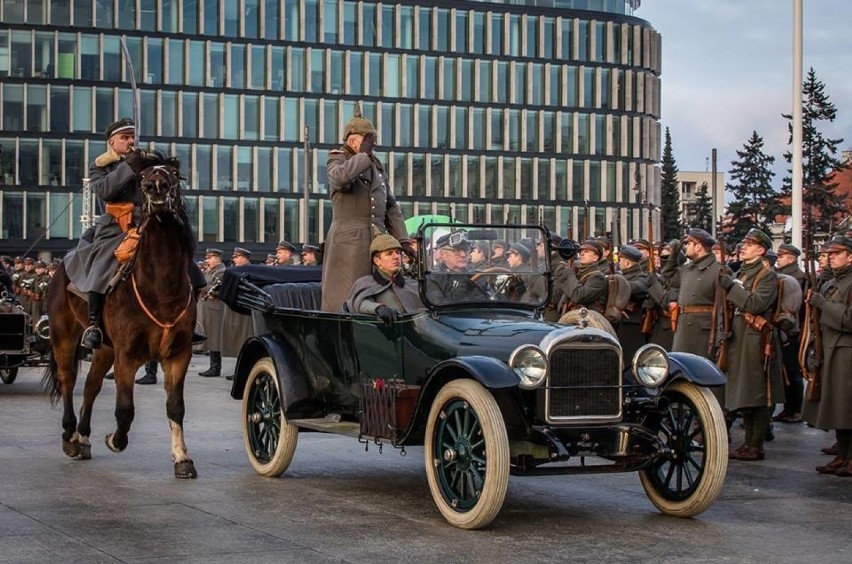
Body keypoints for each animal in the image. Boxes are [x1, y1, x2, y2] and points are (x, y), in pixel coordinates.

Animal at [45, 161, 198, 478]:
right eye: (142, 175)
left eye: (173, 173)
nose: (156, 187)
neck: (162, 288)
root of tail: (63, 264)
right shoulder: (126, 356)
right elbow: (125, 409)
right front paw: (114, 440)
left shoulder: (179, 355)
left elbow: (175, 406)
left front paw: (182, 458)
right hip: (63, 335)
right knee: (67, 380)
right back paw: (69, 436)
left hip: (104, 347)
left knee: (91, 385)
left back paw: (83, 437)